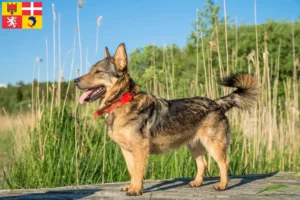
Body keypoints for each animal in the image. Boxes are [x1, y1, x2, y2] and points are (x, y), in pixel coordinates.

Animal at [74, 43, 258, 195]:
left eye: (98, 72)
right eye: (90, 70)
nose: (75, 81)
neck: (123, 100)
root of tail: (216, 102)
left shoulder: (140, 148)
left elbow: (138, 171)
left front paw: (136, 189)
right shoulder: (126, 150)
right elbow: (132, 170)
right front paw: (132, 186)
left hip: (214, 145)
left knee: (224, 163)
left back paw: (222, 185)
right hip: (195, 146)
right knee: (203, 164)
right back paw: (197, 182)